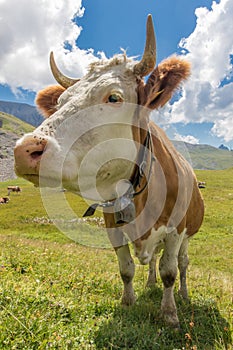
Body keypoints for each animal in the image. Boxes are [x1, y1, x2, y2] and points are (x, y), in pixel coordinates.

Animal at [14, 15, 204, 328]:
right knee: (152, 260)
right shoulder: (113, 226)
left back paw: (184, 294)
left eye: (114, 97)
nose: (25, 149)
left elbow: (170, 272)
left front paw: (170, 314)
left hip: (189, 234)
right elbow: (126, 268)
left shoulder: (176, 230)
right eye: (60, 103)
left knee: (183, 264)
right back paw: (150, 283)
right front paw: (128, 302)